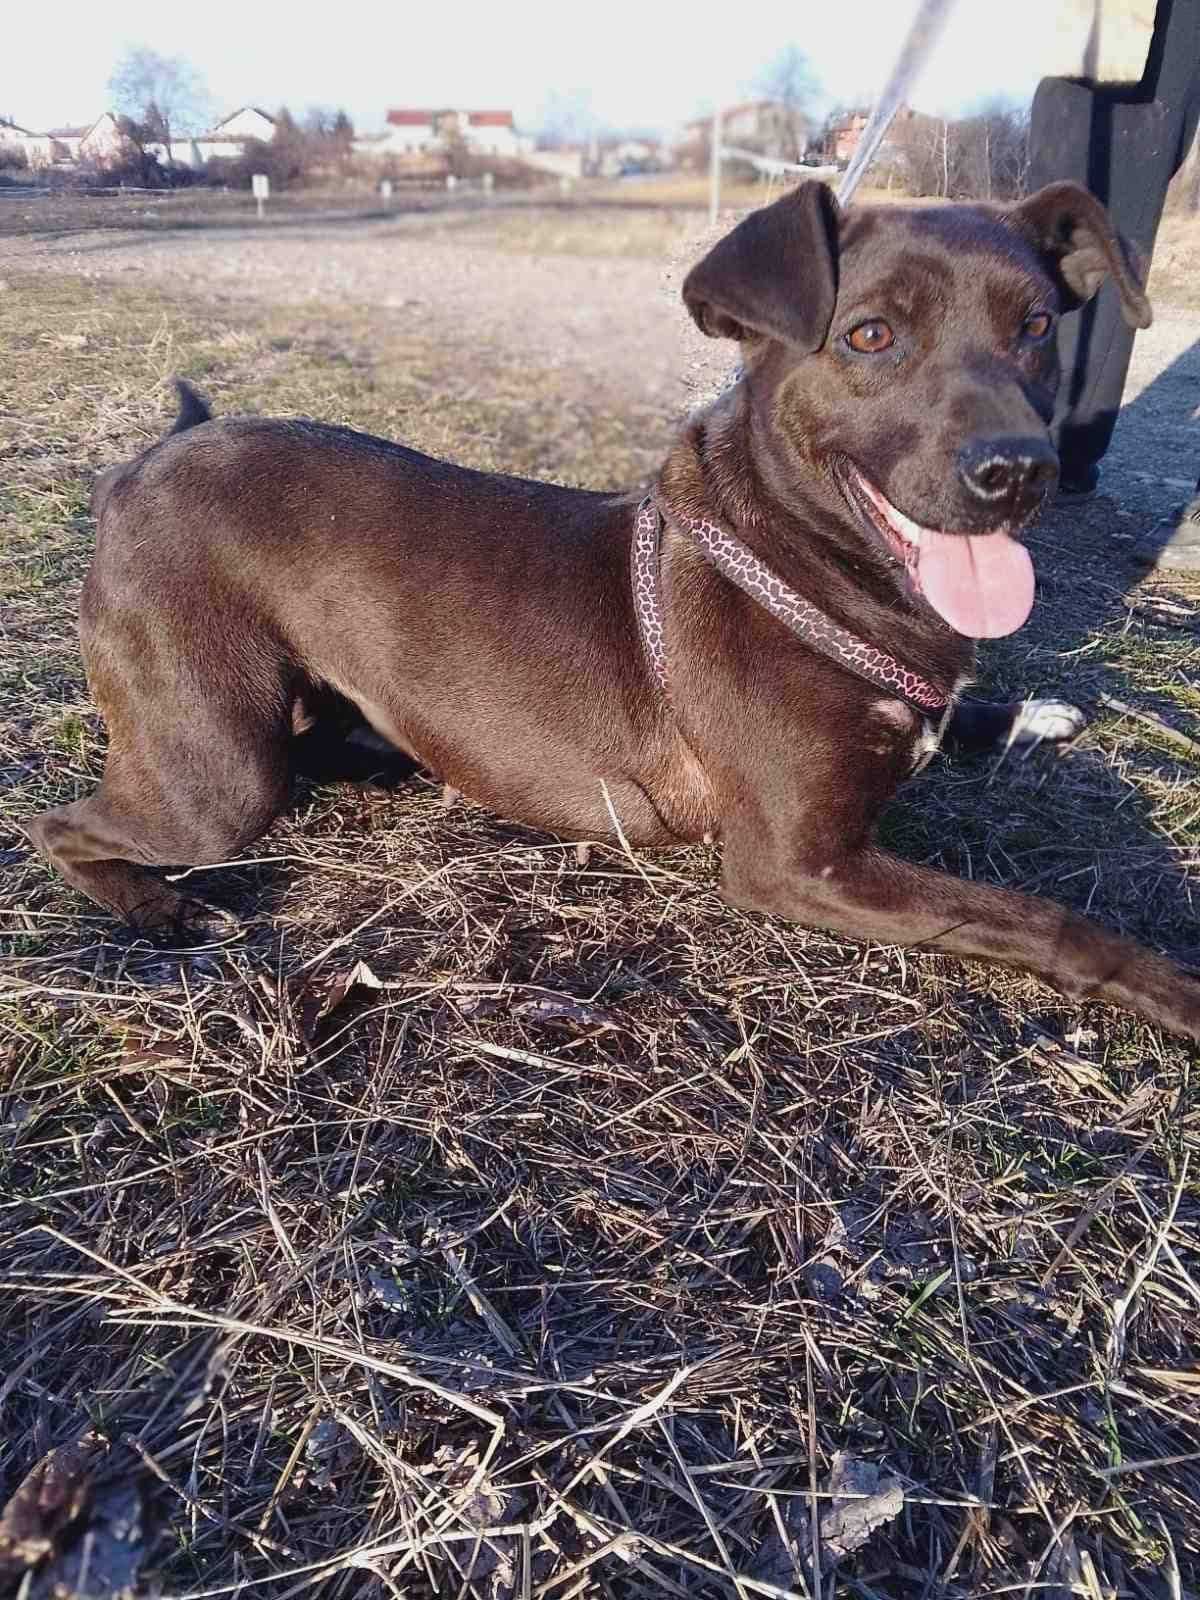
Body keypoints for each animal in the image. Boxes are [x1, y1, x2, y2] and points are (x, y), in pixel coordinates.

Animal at [25, 181, 1200, 1043]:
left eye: (1036, 327)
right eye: (870, 336)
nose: (1021, 470)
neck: (804, 563)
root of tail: (141, 464)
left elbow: (966, 719)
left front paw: (1028, 713)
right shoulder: (796, 864)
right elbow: (1046, 918)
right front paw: (1174, 987)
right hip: (220, 776)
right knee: (58, 827)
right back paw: (162, 905)